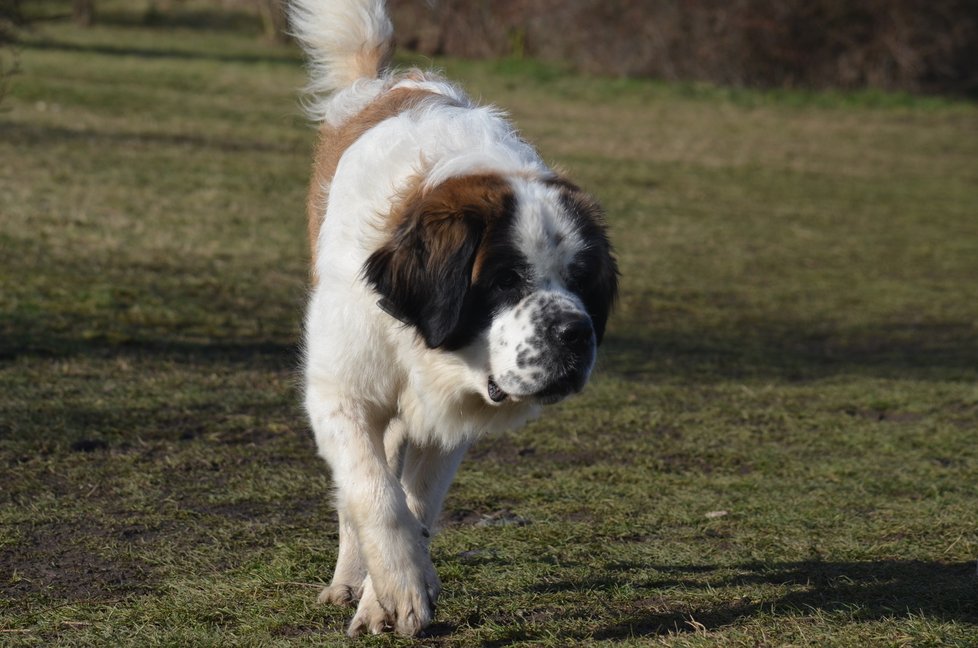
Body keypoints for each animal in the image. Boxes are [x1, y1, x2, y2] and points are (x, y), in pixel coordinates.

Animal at [286, 0, 616, 636]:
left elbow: (417, 504)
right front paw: (397, 586)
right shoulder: (339, 392)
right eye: (505, 279)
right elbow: (374, 495)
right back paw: (347, 578)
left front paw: (391, 595)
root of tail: (386, 84)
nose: (577, 333)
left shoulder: (450, 422)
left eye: (582, 281)